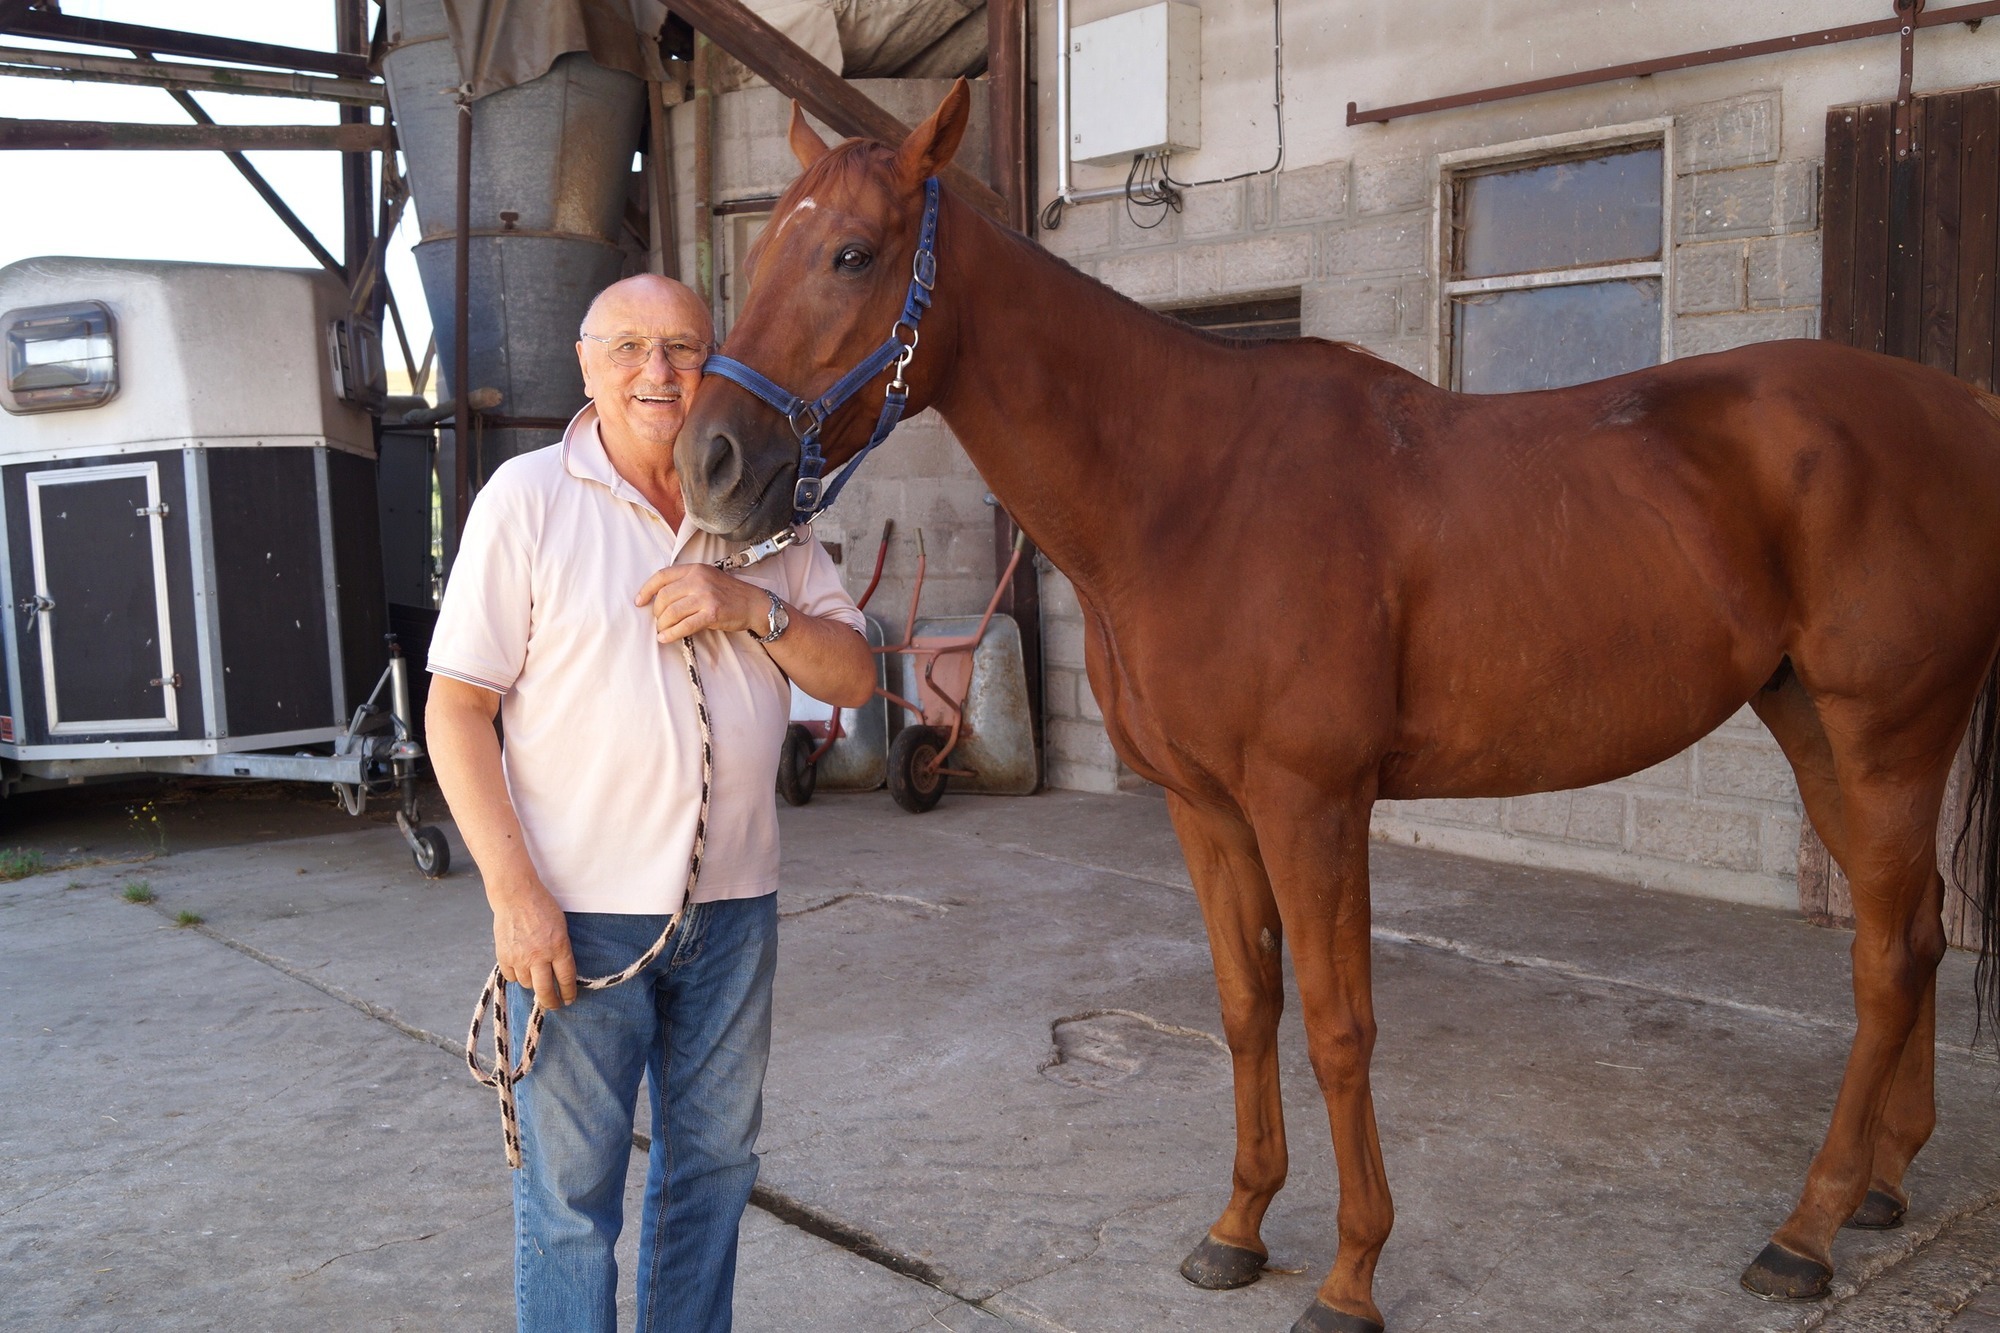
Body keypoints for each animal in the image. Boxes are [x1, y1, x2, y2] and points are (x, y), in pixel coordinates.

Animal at [672, 85, 2000, 1328]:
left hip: (1885, 734)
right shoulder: (1205, 806)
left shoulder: (1311, 801)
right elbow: (1245, 1005)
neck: (1188, 490)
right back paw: (1881, 1183)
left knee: (1885, 956)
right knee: (1917, 931)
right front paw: (1238, 1226)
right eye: (763, 251)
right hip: (1809, 723)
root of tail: (1958, 412)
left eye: (852, 254)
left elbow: (1334, 1021)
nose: (708, 461)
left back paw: (1804, 1231)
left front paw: (1351, 1273)